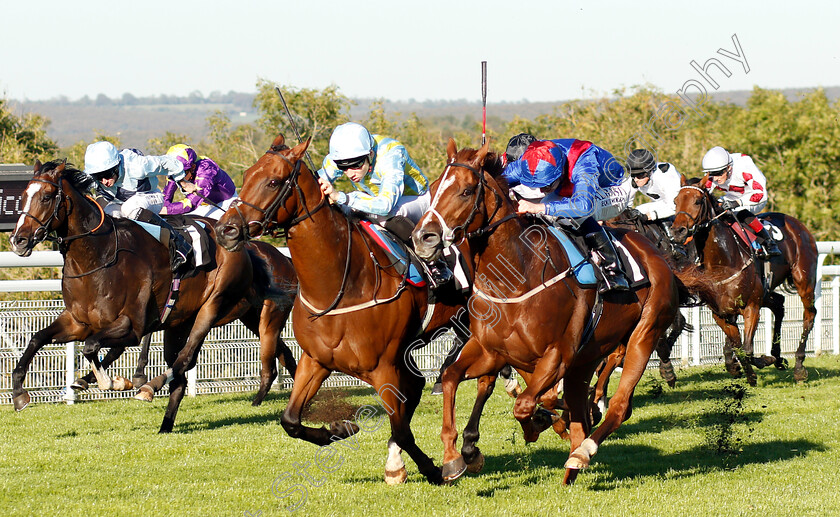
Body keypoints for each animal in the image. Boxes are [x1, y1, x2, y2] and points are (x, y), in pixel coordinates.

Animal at [10, 159, 298, 430]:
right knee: (187, 371)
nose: (18, 240)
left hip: (216, 307)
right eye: (22, 196)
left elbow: (92, 347)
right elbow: (37, 339)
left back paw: (149, 387)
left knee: (185, 359)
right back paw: (165, 425)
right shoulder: (78, 322)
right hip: (187, 322)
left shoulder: (131, 326)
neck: (97, 257)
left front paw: (114, 382)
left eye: (47, 196)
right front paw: (19, 393)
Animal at [213, 133, 482, 484]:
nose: (225, 230)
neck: (340, 285)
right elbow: (290, 420)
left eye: (273, 181)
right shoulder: (316, 361)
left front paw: (434, 469)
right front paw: (340, 428)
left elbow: (401, 427)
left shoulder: (383, 366)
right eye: (245, 176)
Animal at [414, 138, 684, 484]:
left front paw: (536, 425)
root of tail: (656, 254)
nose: (423, 238)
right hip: (586, 358)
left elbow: (525, 404)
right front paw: (452, 457)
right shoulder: (491, 350)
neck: (515, 278)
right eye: (433, 188)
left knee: (620, 406)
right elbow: (450, 377)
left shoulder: (558, 354)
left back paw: (582, 452)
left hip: (642, 335)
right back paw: (571, 461)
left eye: (465, 191)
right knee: (581, 410)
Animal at [668, 177, 816, 382]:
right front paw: (743, 368)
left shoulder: (751, 307)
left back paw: (799, 366)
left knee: (809, 315)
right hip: (766, 290)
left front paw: (758, 364)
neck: (723, 261)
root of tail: (797, 224)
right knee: (779, 304)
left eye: (697, 201)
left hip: (804, 280)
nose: (678, 232)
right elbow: (738, 347)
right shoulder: (720, 313)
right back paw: (777, 357)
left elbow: (746, 348)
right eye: (676, 201)